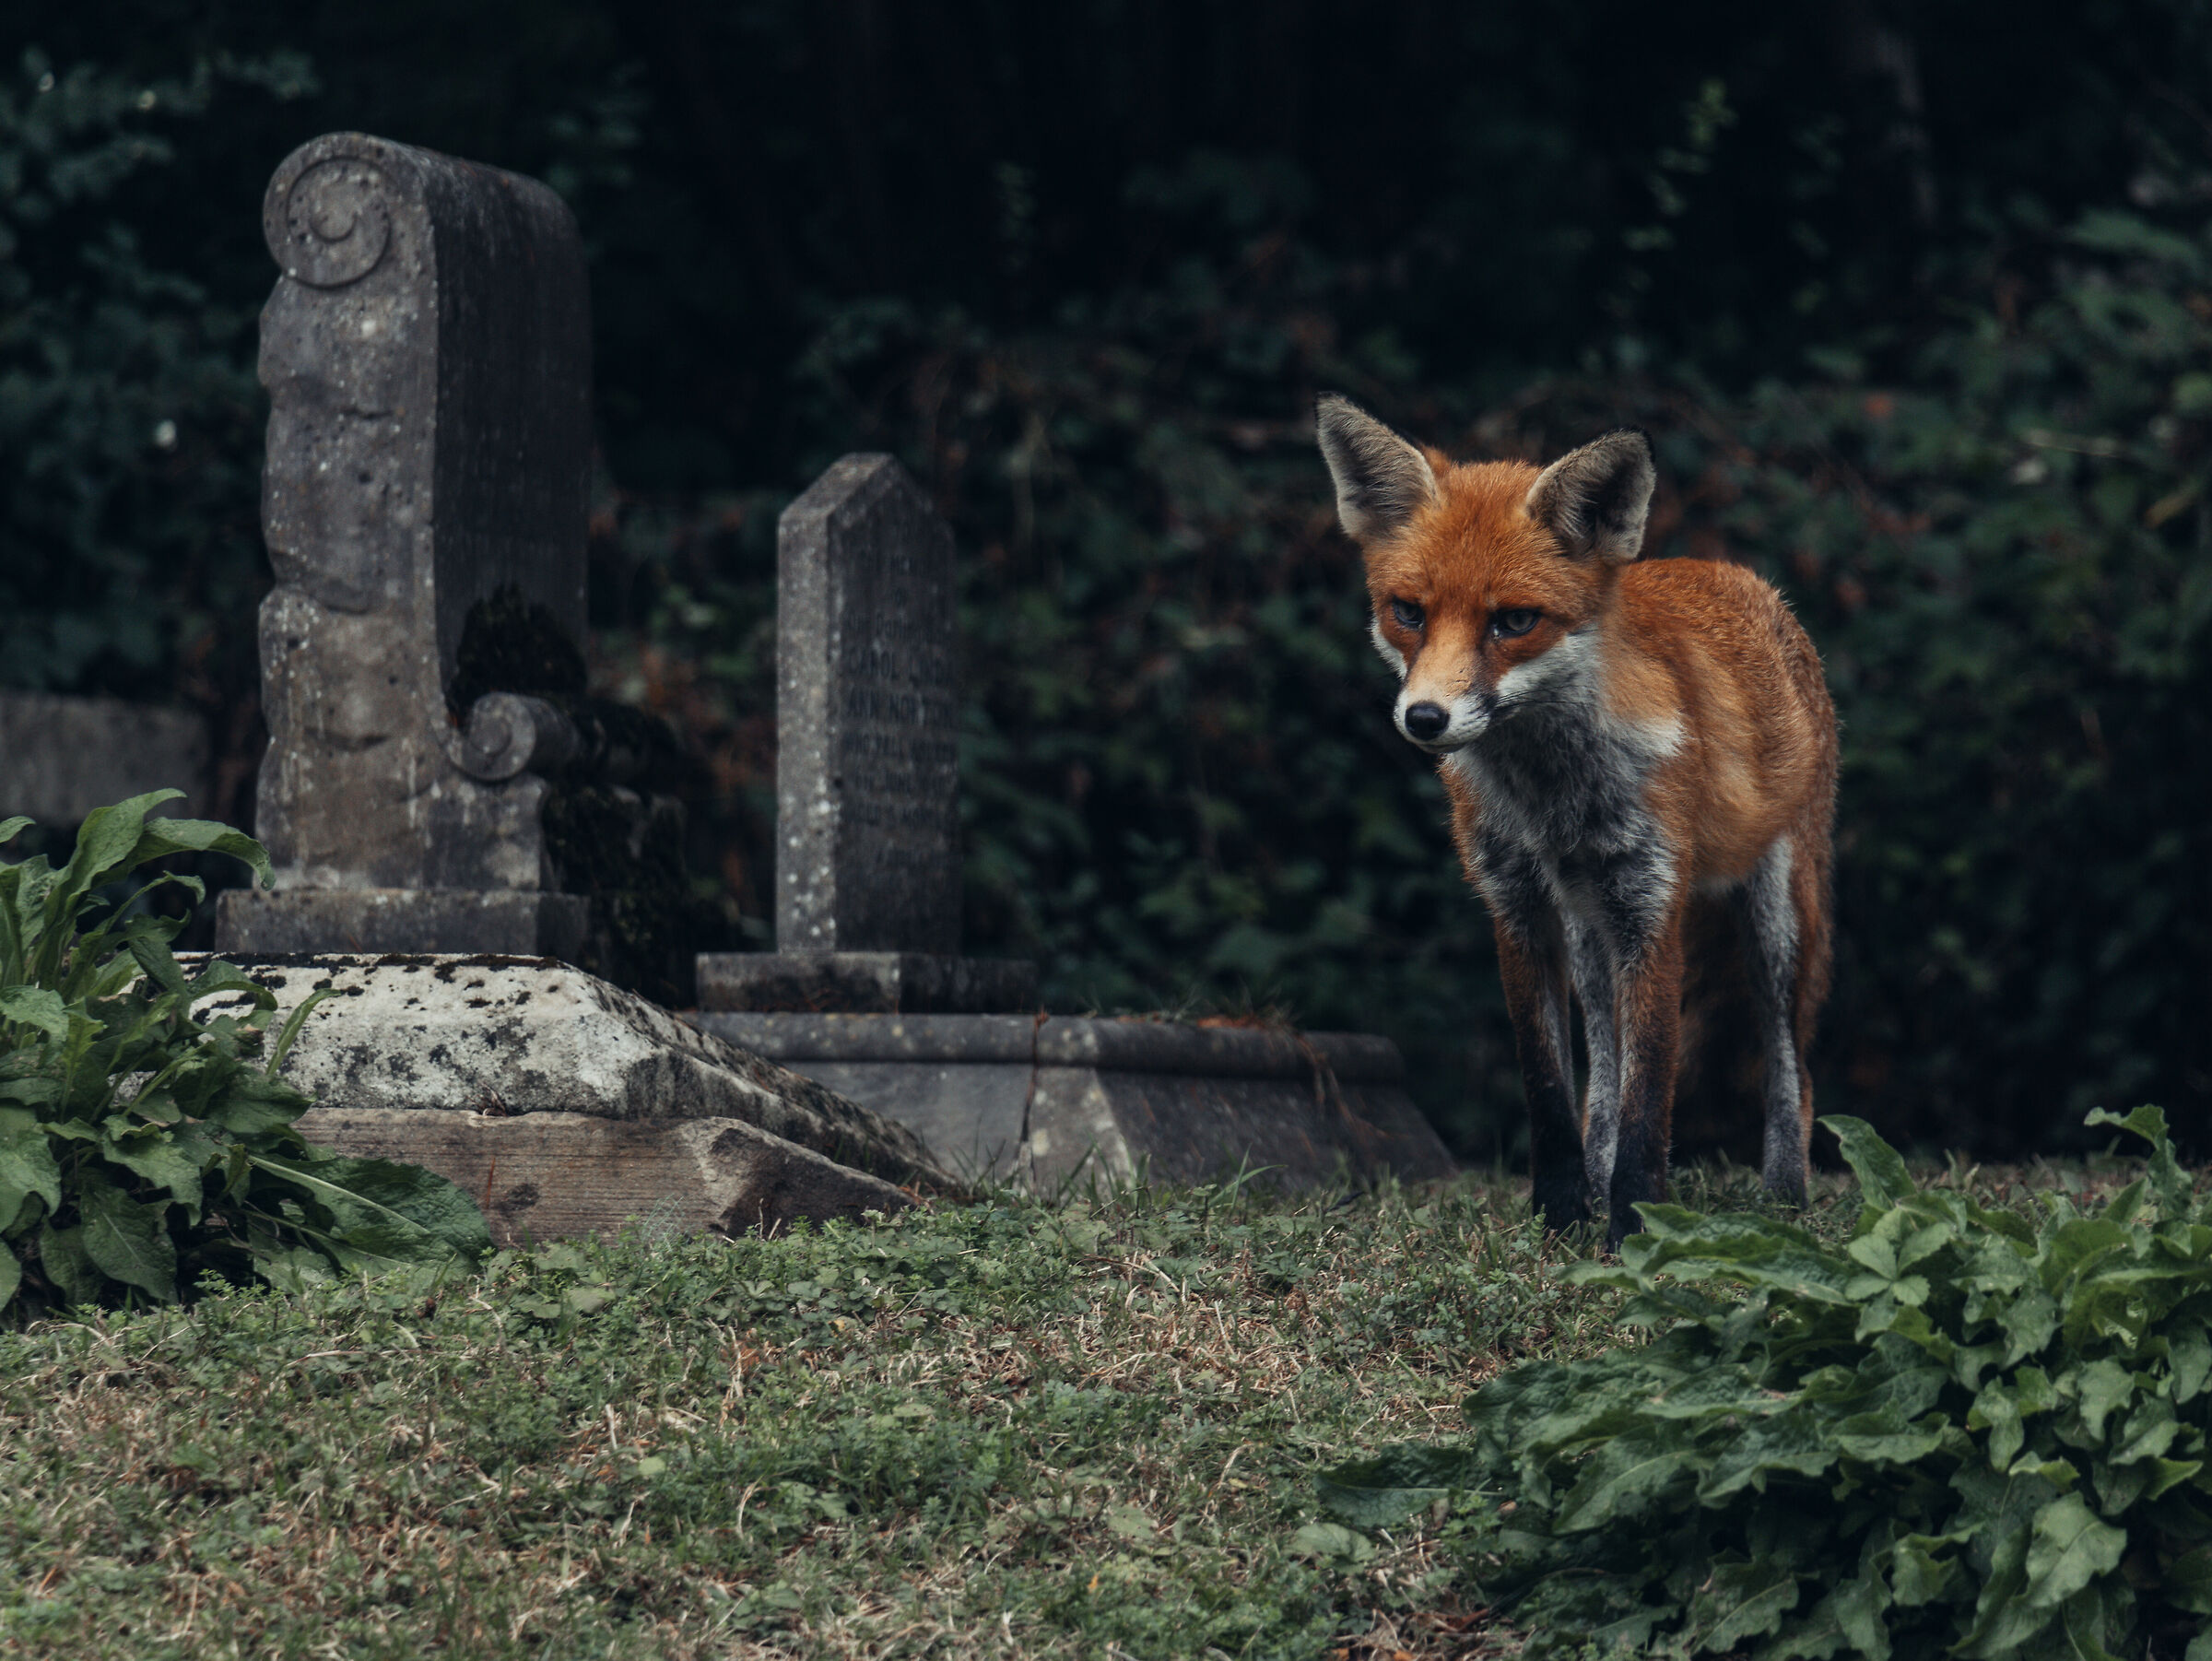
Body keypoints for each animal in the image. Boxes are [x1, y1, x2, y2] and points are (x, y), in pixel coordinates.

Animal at [1315, 394, 1839, 1249]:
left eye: (1513, 621)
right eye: (1408, 613)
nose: (1424, 719)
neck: (1553, 800)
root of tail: (1736, 575)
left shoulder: (1653, 908)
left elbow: (1649, 1096)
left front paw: (1632, 1227)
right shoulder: (1517, 905)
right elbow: (1553, 1085)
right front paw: (1562, 1213)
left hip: (1779, 920)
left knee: (1792, 1066)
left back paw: (1784, 1198)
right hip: (1591, 936)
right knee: (1601, 1064)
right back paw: (1595, 1179)